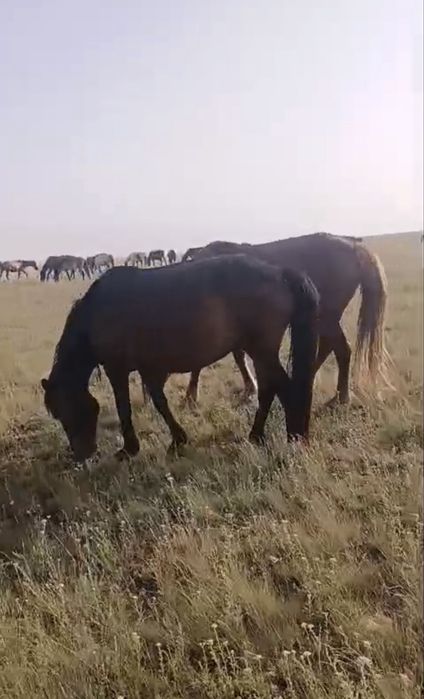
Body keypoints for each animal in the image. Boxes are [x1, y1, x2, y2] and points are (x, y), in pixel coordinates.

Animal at [41, 255, 319, 462]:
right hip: (261, 352)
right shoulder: (149, 368)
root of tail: (281, 273)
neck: (97, 313)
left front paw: (130, 448)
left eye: (64, 412)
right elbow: (159, 401)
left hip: (261, 349)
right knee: (269, 389)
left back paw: (294, 439)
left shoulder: (116, 369)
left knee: (285, 389)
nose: (82, 455)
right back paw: (257, 436)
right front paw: (177, 440)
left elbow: (125, 407)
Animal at [182, 232, 389, 405]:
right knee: (331, 347)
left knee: (341, 350)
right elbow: (238, 356)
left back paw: (340, 397)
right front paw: (250, 388)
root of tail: (355, 247)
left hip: (327, 317)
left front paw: (191, 395)